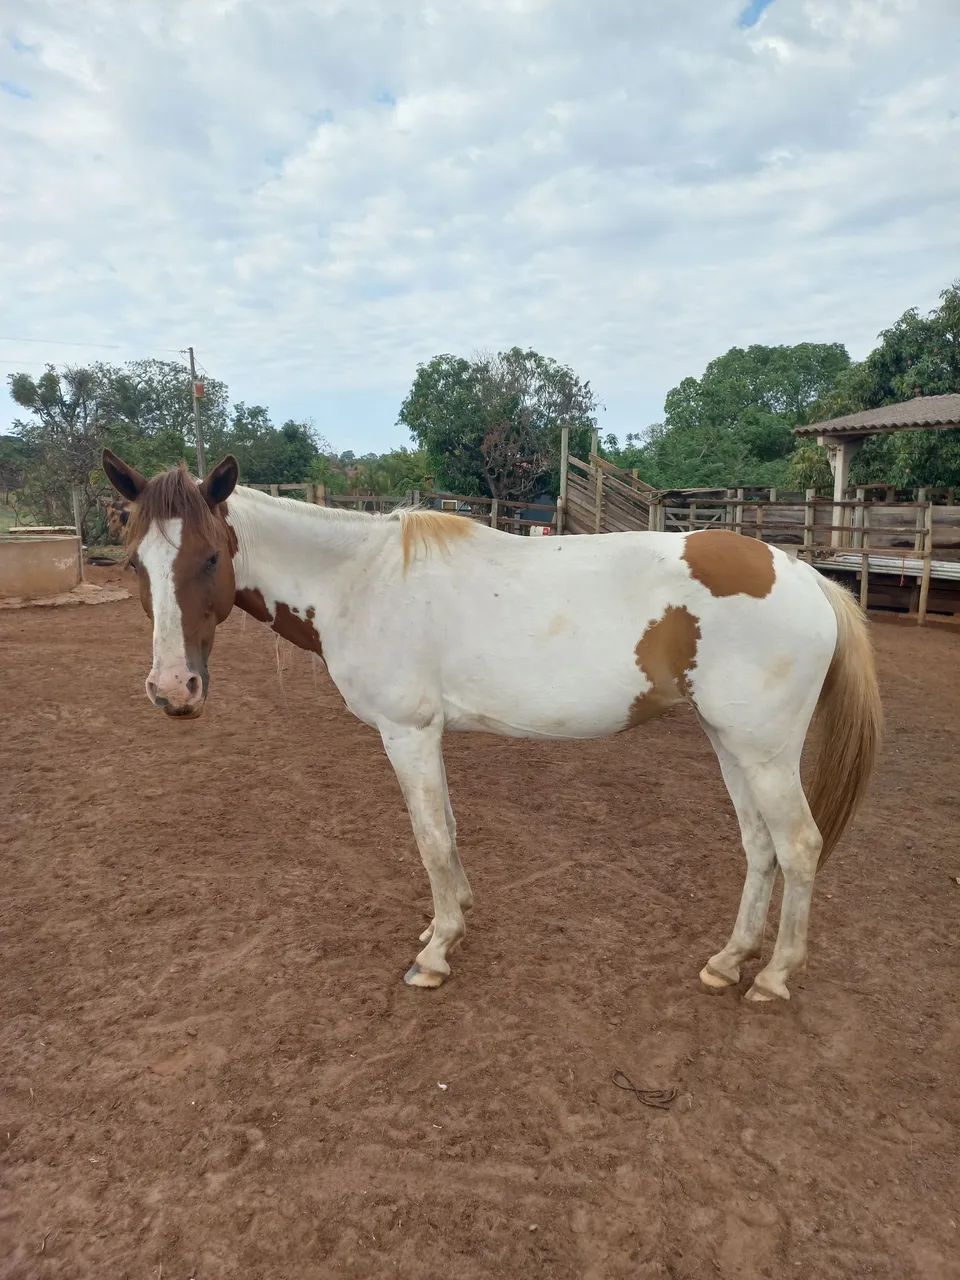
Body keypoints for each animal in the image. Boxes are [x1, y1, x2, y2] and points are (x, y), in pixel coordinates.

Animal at [102, 449, 881, 1003]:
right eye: (135, 561)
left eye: (210, 555)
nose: (172, 689)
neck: (359, 579)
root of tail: (806, 576)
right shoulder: (428, 735)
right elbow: (448, 828)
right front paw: (451, 918)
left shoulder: (408, 732)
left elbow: (430, 837)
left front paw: (435, 952)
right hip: (731, 744)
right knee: (760, 847)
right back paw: (728, 962)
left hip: (765, 751)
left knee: (800, 845)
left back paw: (774, 977)